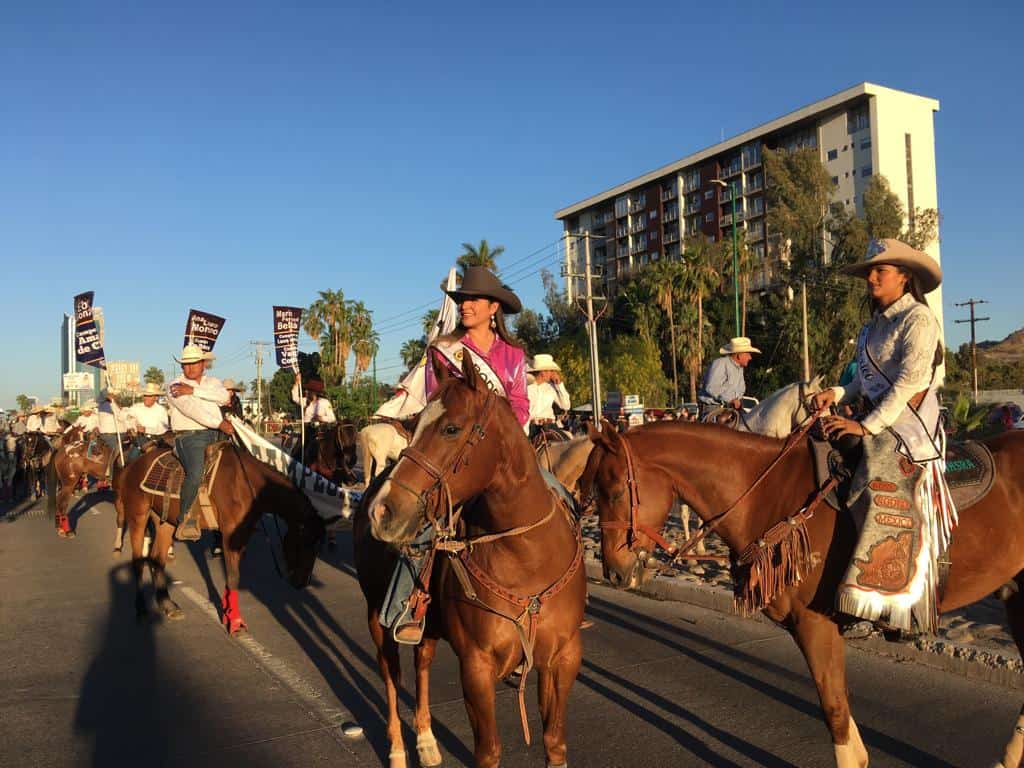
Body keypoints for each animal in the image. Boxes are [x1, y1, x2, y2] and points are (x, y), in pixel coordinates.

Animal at [117, 438, 329, 630]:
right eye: (306, 542)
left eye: (319, 546)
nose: (302, 583)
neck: (247, 485)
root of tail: (131, 465)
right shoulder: (229, 535)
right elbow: (233, 577)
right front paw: (234, 622)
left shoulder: (241, 537)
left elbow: (234, 576)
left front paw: (228, 614)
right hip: (138, 516)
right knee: (138, 562)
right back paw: (141, 609)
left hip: (165, 522)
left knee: (156, 559)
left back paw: (168, 605)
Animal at [358, 354, 585, 768]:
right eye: (412, 426)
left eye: (451, 428)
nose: (383, 511)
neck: (528, 560)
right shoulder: (477, 667)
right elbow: (488, 751)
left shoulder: (563, 658)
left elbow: (554, 741)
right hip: (377, 617)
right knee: (391, 676)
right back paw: (398, 751)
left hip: (427, 625)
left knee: (422, 664)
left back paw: (427, 742)